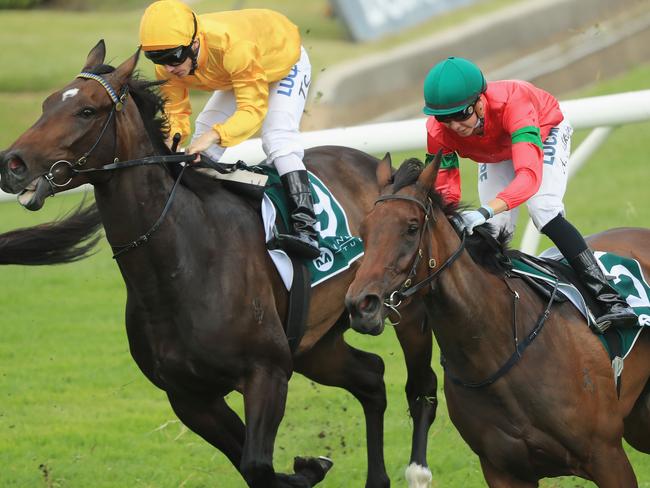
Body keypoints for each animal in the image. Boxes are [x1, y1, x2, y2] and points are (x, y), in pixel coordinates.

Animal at [0, 43, 438, 488]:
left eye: (86, 111)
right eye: (47, 103)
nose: (12, 164)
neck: (181, 262)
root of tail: (382, 170)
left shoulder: (267, 372)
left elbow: (257, 463)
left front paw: (308, 467)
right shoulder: (189, 397)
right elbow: (251, 462)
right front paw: (310, 466)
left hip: (403, 307)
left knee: (420, 385)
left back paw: (417, 468)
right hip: (317, 341)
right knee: (371, 376)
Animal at [344, 156, 648, 488]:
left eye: (411, 228)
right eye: (364, 230)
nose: (361, 305)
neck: (496, 348)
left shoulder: (606, 456)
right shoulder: (502, 470)